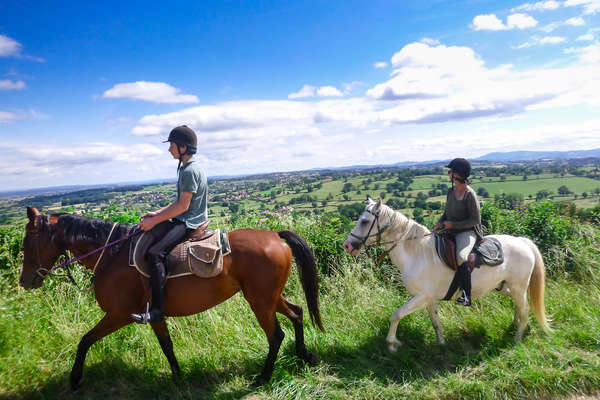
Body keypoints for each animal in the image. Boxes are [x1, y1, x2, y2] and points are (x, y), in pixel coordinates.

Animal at [18, 208, 324, 390]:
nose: (25, 281)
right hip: (268, 297)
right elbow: (166, 346)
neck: (112, 254)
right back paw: (304, 355)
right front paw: (178, 378)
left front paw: (74, 378)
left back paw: (264, 376)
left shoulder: (119, 313)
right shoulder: (152, 315)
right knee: (297, 312)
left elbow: (85, 340)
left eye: (27, 242)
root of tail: (275, 235)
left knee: (276, 335)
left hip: (260, 301)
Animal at [344, 198, 552, 352]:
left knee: (524, 307)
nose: (347, 246)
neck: (417, 254)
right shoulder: (427, 299)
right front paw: (442, 342)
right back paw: (519, 326)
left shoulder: (421, 297)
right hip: (503, 286)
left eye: (364, 221)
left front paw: (392, 344)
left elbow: (396, 315)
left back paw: (517, 338)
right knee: (519, 305)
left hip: (517, 286)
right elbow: (435, 321)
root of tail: (523, 242)